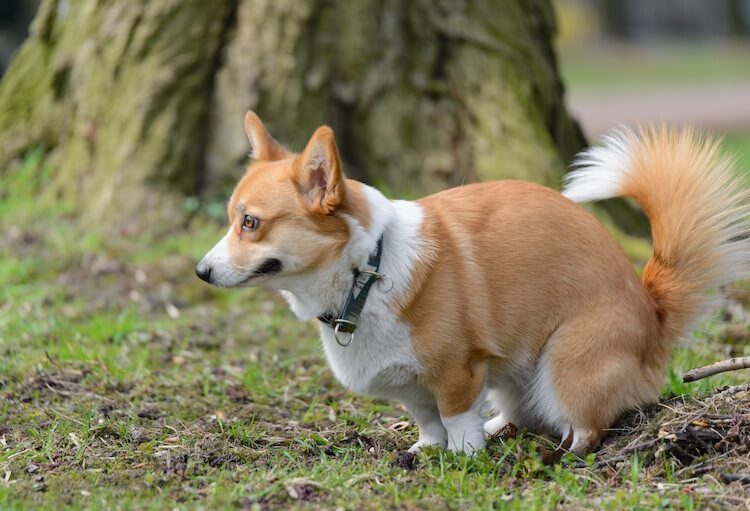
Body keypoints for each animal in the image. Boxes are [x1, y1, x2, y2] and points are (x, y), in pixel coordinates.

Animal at [197, 111, 748, 452]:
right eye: (230, 219)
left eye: (251, 223)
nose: (200, 272)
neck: (366, 272)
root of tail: (653, 310)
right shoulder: (411, 386)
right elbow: (427, 417)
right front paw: (427, 450)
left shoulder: (460, 371)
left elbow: (456, 414)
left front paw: (464, 455)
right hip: (518, 374)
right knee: (522, 411)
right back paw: (501, 426)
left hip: (566, 361)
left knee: (588, 425)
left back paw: (564, 453)